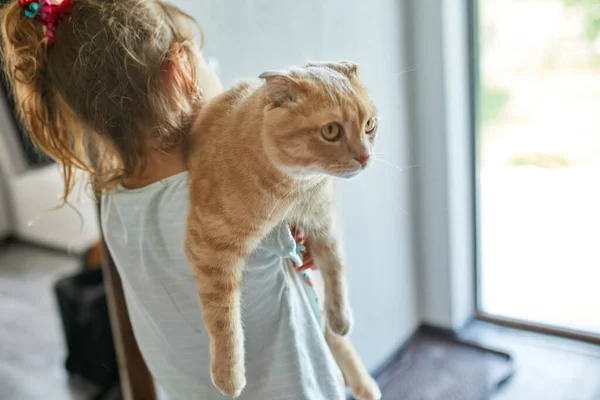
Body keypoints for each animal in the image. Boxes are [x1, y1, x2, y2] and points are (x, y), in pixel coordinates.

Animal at [185, 60, 380, 400]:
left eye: (369, 124)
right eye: (331, 131)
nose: (365, 156)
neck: (296, 192)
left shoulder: (324, 223)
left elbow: (336, 270)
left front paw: (341, 317)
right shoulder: (209, 247)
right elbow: (223, 319)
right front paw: (229, 376)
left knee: (335, 339)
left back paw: (365, 384)